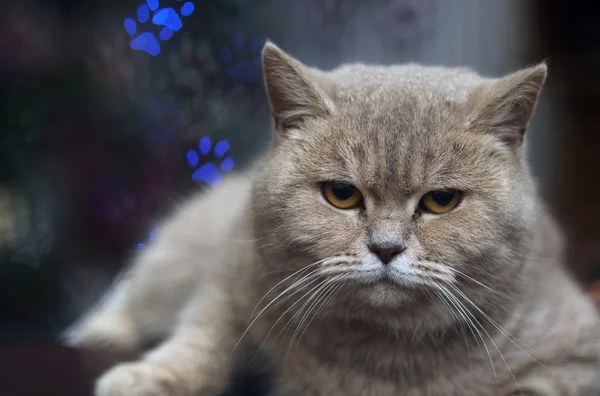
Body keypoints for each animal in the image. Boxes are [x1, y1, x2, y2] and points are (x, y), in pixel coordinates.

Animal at [64, 41, 600, 394]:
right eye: (341, 195)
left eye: (442, 201)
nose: (386, 248)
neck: (377, 348)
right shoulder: (233, 272)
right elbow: (204, 337)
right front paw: (146, 377)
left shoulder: (577, 359)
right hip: (173, 259)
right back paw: (101, 329)